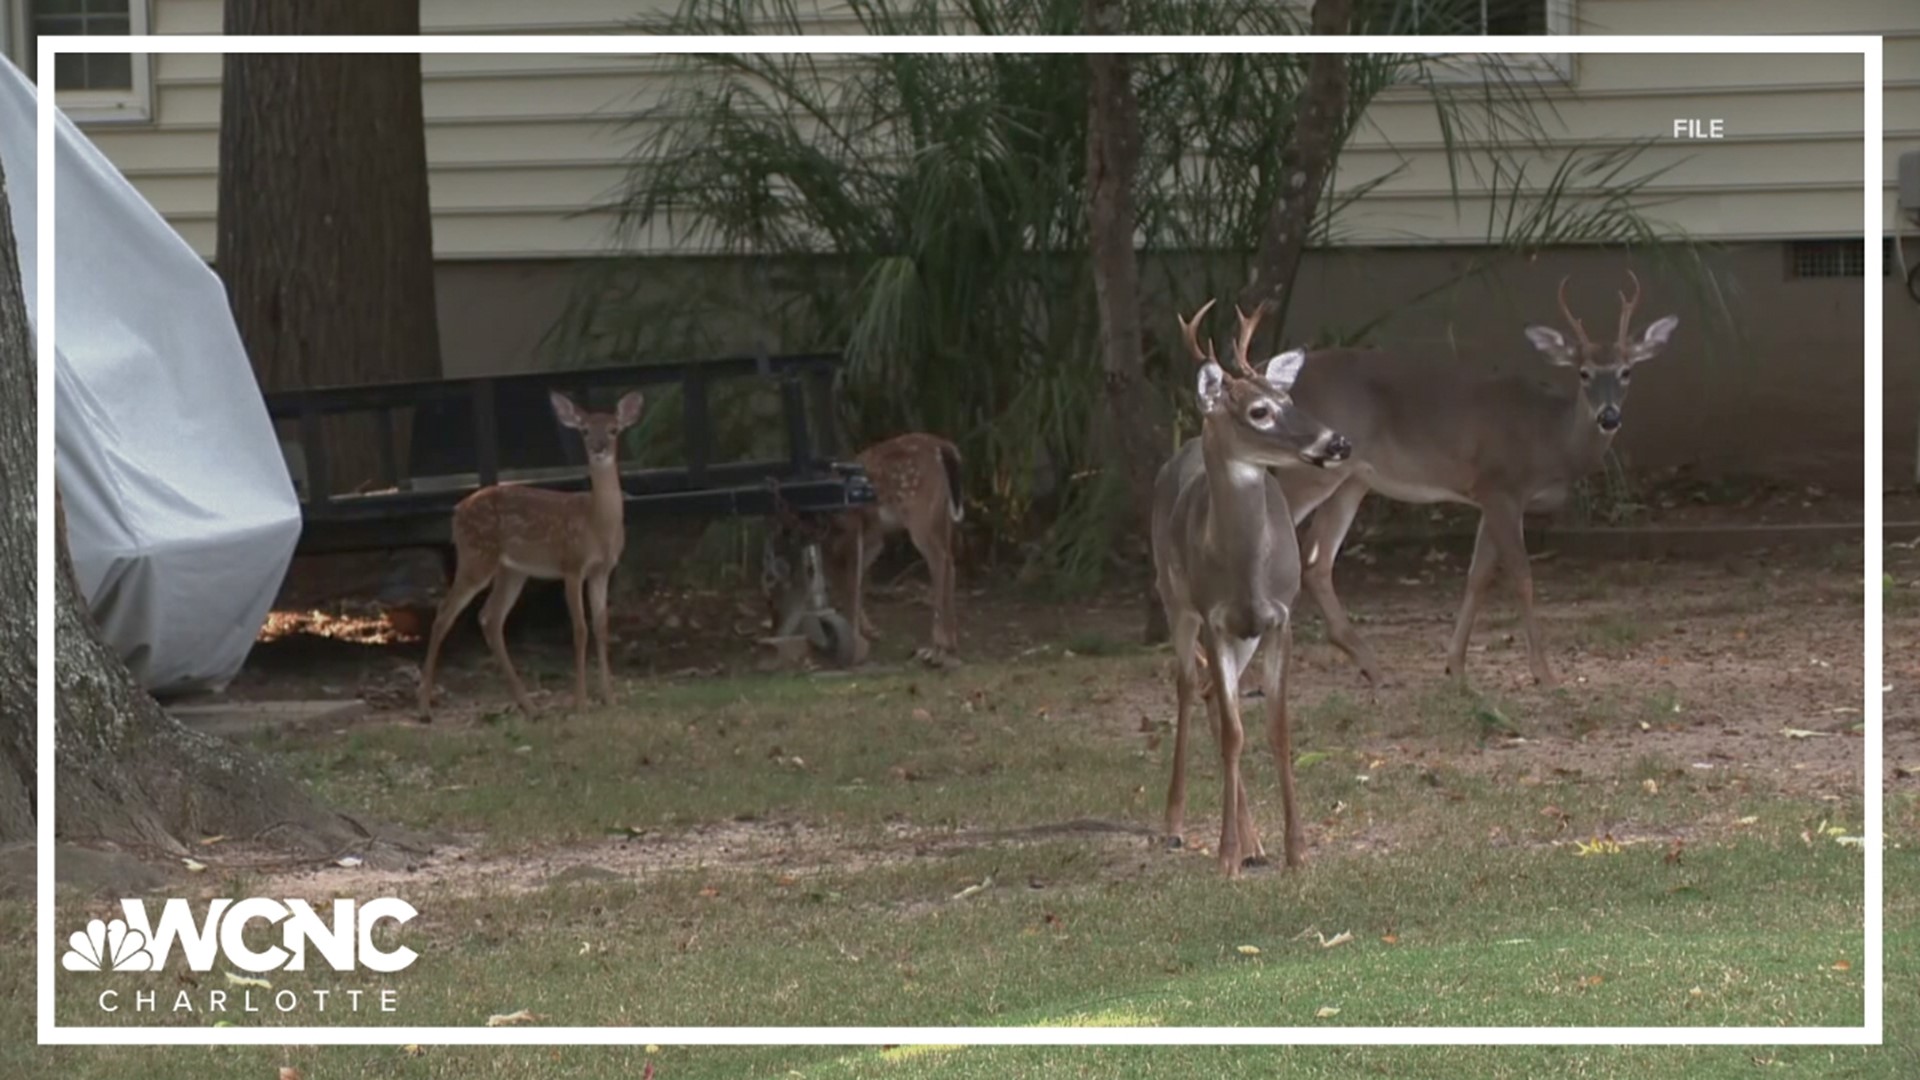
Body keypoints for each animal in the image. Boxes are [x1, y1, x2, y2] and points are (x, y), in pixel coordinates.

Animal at [418, 386, 645, 714]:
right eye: (585, 430)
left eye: (614, 429)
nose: (599, 448)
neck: (597, 524)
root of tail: (456, 512)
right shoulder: (571, 565)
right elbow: (579, 629)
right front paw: (580, 702)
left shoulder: (602, 570)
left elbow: (601, 627)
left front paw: (610, 699)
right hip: (476, 556)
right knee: (444, 613)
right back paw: (424, 706)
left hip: (512, 570)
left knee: (490, 617)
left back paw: (529, 706)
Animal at [825, 430, 967, 664]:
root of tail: (943, 446)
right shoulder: (874, 538)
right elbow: (856, 580)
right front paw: (868, 631)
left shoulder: (853, 527)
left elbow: (851, 582)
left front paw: (854, 641)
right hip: (942, 514)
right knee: (950, 560)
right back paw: (951, 643)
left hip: (920, 511)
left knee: (938, 559)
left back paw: (936, 647)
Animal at [1152, 297, 1351, 868]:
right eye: (1260, 411)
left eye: (1289, 397)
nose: (1338, 442)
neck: (1245, 573)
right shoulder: (1215, 618)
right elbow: (1234, 735)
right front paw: (1225, 857)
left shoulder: (1280, 617)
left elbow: (1275, 730)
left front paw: (1295, 851)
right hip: (1173, 597)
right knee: (1189, 687)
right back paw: (1176, 825)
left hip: (1244, 634)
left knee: (1215, 699)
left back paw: (1255, 843)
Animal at [1274, 272, 1681, 684]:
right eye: (1584, 373)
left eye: (1626, 371)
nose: (1609, 416)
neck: (1552, 439)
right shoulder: (1502, 486)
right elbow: (1521, 574)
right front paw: (1543, 672)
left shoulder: (1487, 495)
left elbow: (1478, 575)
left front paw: (1455, 664)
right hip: (1311, 468)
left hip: (1352, 479)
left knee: (1316, 559)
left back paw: (1372, 666)